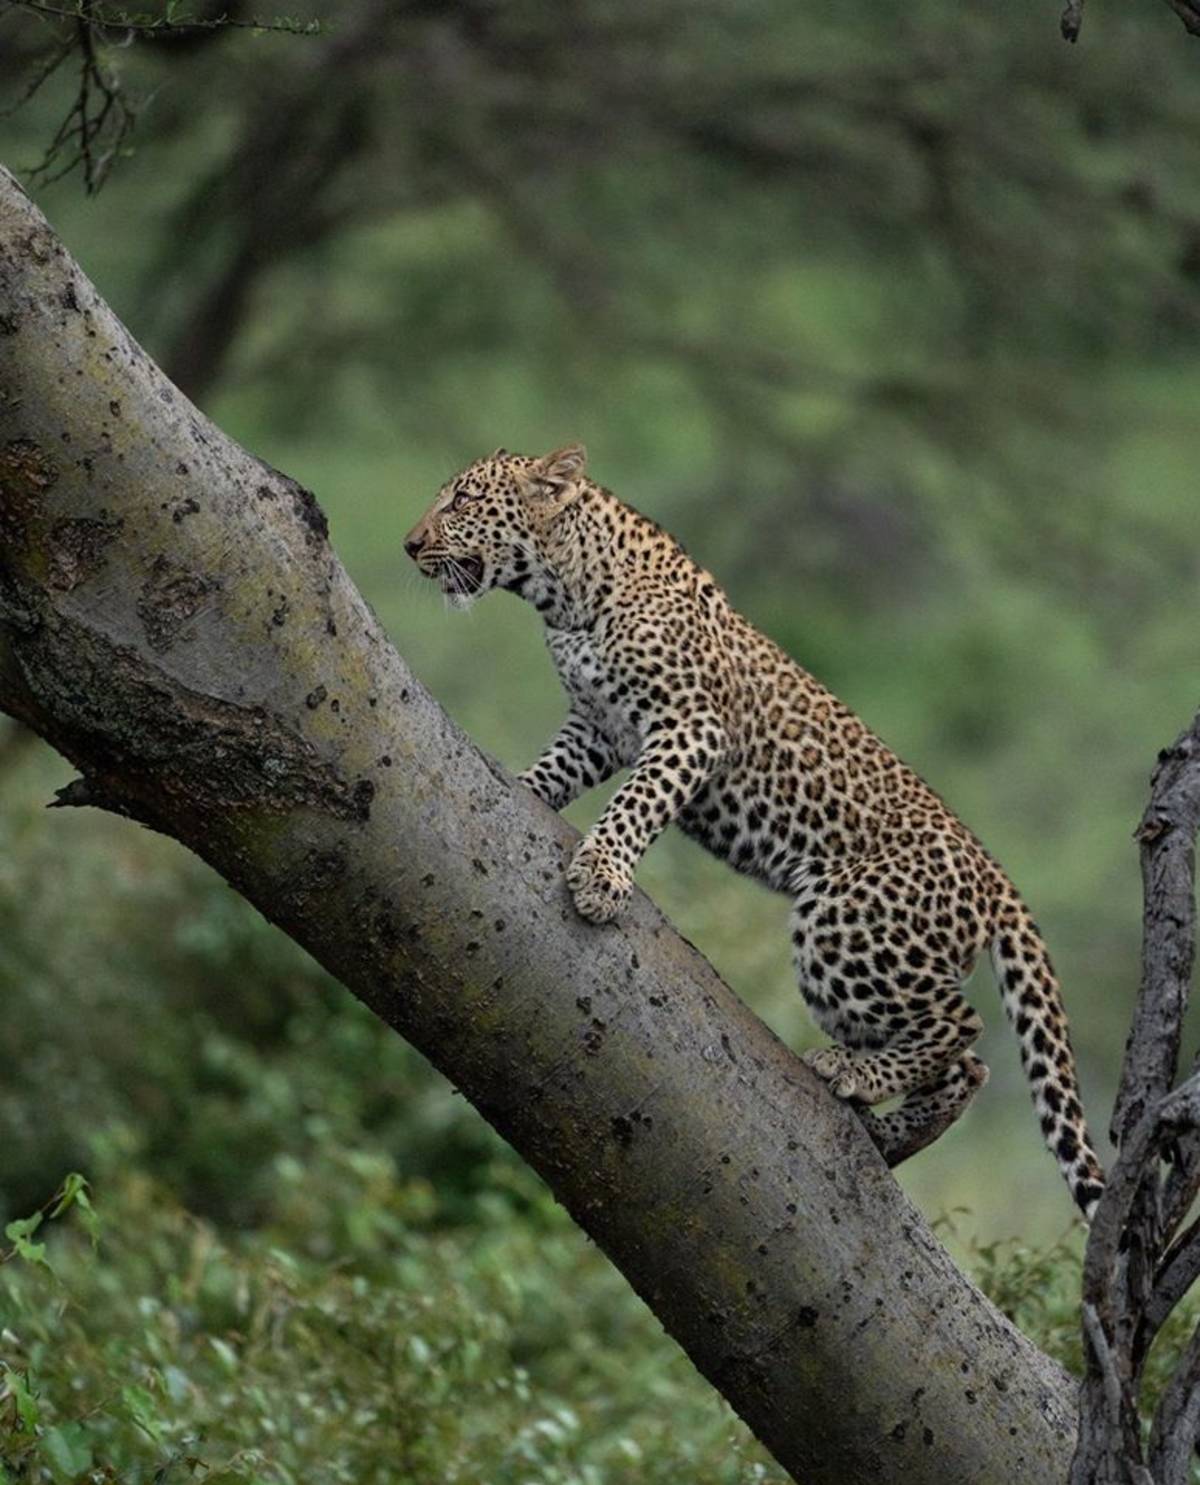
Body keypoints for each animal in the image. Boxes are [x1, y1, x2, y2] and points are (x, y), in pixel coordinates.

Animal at [404, 443, 1106, 1220]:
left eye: (463, 500)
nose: (410, 544)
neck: (566, 594)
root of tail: (995, 874)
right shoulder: (596, 728)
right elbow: (556, 770)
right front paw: (523, 790)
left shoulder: (690, 728)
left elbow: (638, 802)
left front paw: (601, 878)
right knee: (969, 1067)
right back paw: (888, 1130)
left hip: (846, 926)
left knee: (962, 1026)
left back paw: (855, 1074)